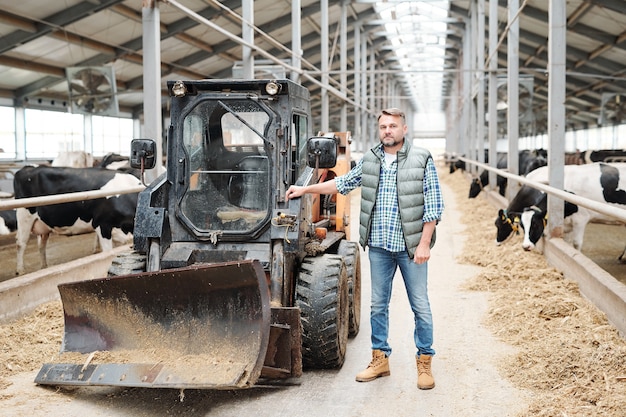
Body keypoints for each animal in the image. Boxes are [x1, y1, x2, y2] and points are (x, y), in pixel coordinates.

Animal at [12, 164, 142, 274]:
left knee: (41, 245)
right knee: (21, 243)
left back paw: (44, 267)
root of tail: (28, 167)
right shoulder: (102, 225)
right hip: (24, 215)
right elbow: (107, 252)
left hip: (43, 223)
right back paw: (20, 270)